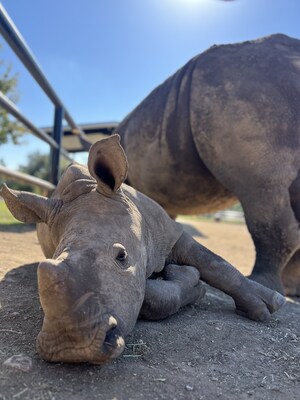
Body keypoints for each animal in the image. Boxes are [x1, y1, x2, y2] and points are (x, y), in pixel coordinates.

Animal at [0, 136, 286, 364]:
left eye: (122, 256)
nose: (70, 349)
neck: (85, 187)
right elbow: (151, 299)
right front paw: (191, 282)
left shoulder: (171, 233)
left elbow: (216, 265)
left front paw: (267, 307)